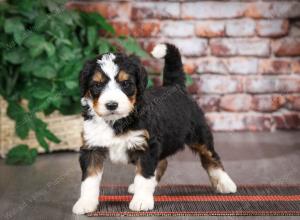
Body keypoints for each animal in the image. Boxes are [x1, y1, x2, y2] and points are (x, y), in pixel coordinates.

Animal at [72, 43, 237, 215]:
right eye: (97, 85)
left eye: (125, 84)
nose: (111, 105)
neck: (116, 121)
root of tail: (175, 86)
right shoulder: (92, 147)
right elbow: (89, 179)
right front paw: (85, 203)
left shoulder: (146, 145)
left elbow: (144, 176)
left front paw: (141, 201)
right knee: (162, 162)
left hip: (199, 134)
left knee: (211, 157)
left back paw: (225, 183)